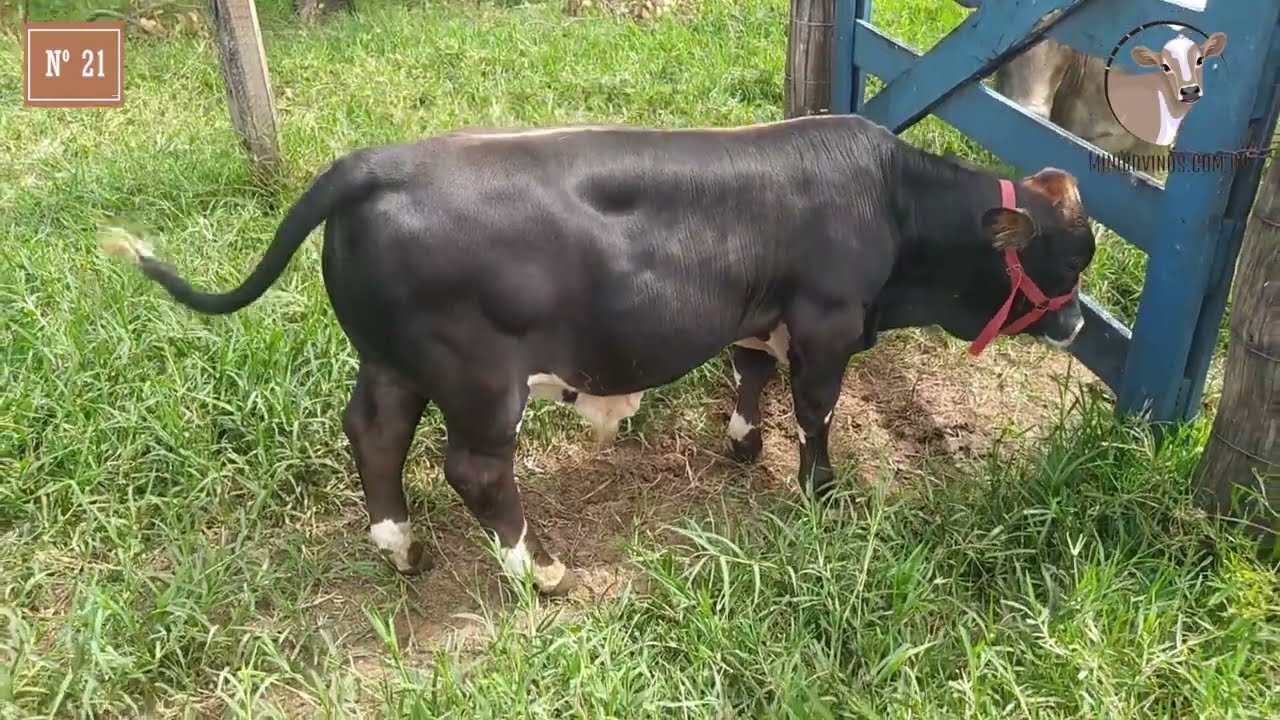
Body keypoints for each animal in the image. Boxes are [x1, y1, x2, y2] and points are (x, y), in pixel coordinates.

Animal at [103, 113, 1094, 597]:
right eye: (1071, 260)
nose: (1082, 328)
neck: (889, 199)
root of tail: (372, 163)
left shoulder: (757, 313)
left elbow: (750, 373)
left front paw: (742, 447)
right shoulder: (828, 322)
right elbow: (815, 408)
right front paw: (823, 491)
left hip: (390, 360)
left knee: (373, 434)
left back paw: (400, 547)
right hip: (479, 378)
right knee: (475, 470)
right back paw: (539, 570)